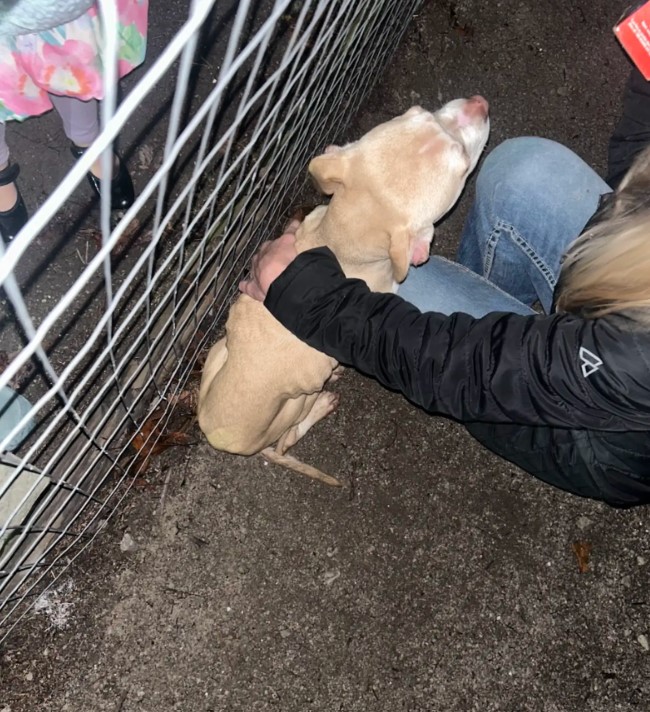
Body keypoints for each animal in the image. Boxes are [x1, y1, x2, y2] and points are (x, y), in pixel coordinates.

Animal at [197, 97, 486, 486]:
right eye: (462, 162)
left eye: (420, 112)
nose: (479, 104)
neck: (340, 241)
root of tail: (221, 437)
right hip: (294, 404)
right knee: (288, 439)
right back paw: (322, 402)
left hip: (217, 353)